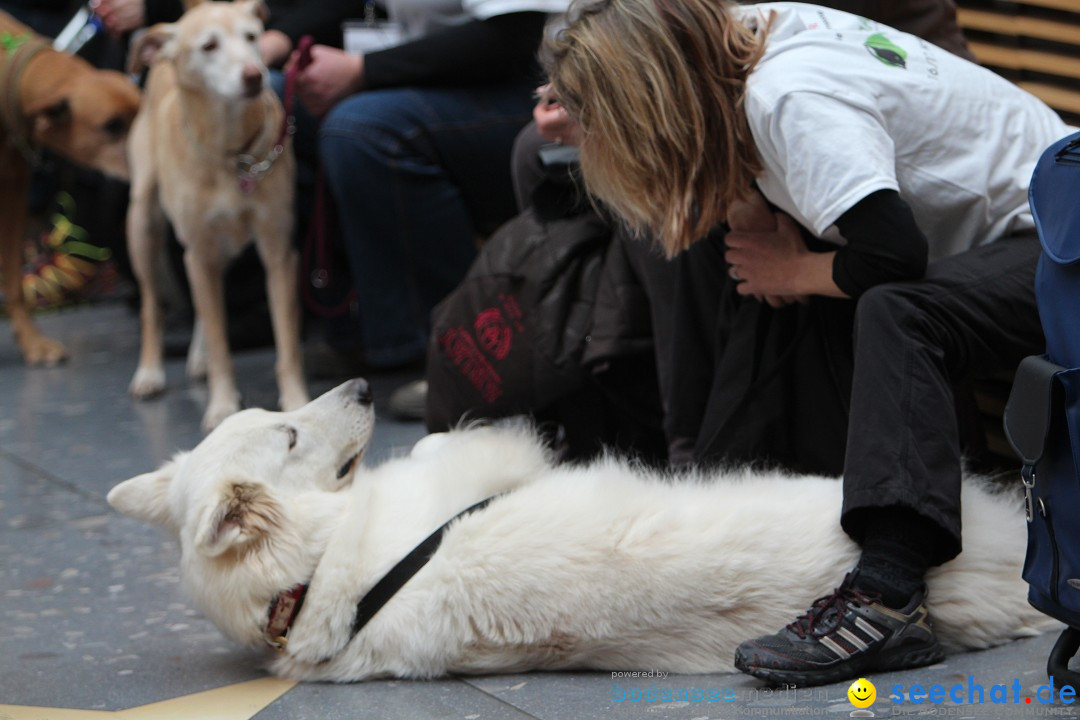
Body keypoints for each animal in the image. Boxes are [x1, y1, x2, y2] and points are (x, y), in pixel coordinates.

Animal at [129, 0, 313, 431]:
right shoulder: (197, 250)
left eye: (252, 37)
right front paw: (223, 405)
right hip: (144, 221)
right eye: (209, 46)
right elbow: (218, 341)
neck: (231, 152)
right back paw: (150, 371)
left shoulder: (279, 253)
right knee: (153, 304)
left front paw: (296, 400)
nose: (254, 75)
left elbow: (286, 341)